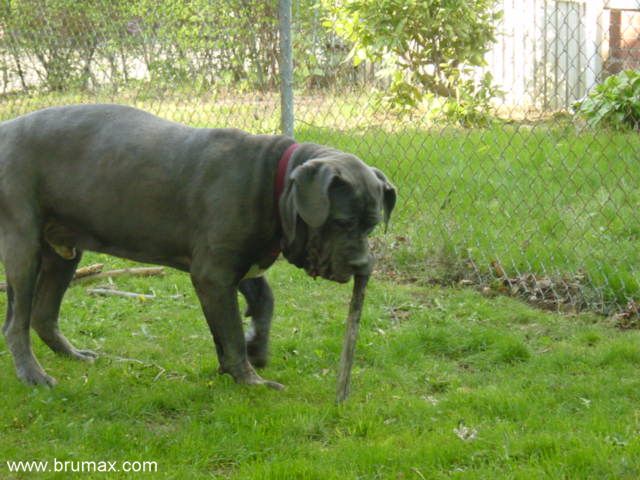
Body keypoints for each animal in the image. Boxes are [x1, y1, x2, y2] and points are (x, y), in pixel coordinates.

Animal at [0, 103, 396, 388]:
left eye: (372, 224)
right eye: (342, 222)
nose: (363, 265)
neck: (274, 181)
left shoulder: (239, 265)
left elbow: (263, 302)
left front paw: (256, 348)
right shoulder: (214, 273)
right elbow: (231, 331)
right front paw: (250, 379)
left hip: (63, 252)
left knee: (42, 315)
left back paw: (72, 356)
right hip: (24, 249)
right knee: (17, 323)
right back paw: (33, 375)